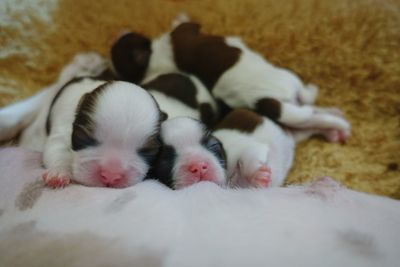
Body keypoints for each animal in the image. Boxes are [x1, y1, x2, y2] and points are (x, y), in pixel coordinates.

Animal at [110, 14, 350, 141]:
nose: (121, 30)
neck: (154, 56)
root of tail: (265, 100)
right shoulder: (184, 34)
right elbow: (186, 26)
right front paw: (180, 18)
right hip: (289, 79)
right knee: (307, 102)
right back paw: (326, 108)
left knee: (308, 110)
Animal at [214, 109, 346, 188]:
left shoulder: (252, 148)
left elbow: (249, 158)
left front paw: (259, 176)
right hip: (298, 133)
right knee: (311, 129)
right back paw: (331, 132)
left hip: (291, 121)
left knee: (314, 118)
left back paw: (337, 120)